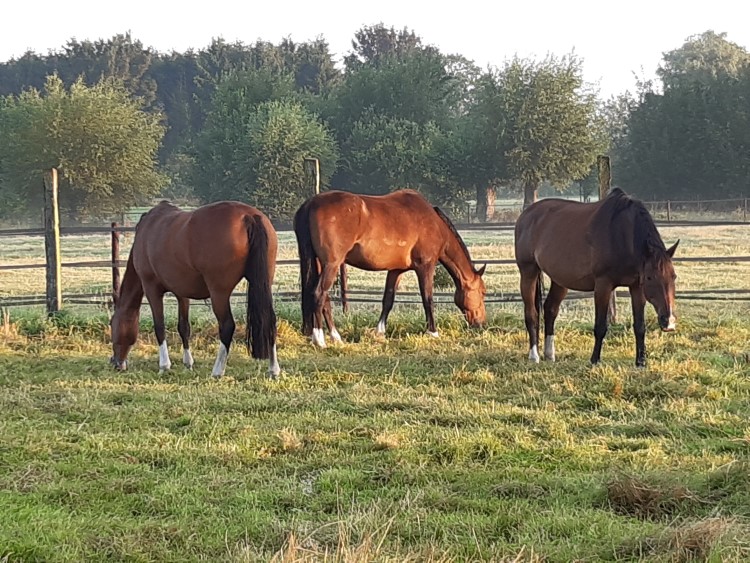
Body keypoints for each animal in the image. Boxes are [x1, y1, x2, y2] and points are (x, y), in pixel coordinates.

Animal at [110, 200, 280, 378]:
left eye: (111, 323)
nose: (116, 363)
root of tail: (248, 216)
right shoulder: (182, 293)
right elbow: (184, 327)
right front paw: (188, 363)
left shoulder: (151, 288)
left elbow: (159, 326)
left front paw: (164, 366)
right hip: (264, 284)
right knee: (270, 320)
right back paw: (273, 370)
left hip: (219, 293)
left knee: (227, 326)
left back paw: (217, 371)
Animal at [293, 189, 487, 347]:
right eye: (483, 292)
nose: (481, 323)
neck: (434, 223)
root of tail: (310, 203)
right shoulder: (425, 267)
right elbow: (428, 299)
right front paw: (433, 332)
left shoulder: (396, 270)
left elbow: (388, 299)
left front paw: (380, 332)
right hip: (331, 264)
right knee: (319, 294)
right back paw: (320, 340)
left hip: (319, 263)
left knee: (324, 300)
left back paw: (335, 337)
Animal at [514, 188, 678, 367]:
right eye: (650, 278)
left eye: (674, 277)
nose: (669, 322)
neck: (621, 234)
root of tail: (526, 214)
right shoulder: (603, 285)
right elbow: (600, 326)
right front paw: (594, 360)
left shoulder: (636, 286)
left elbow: (640, 326)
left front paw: (640, 362)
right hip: (528, 272)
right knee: (531, 314)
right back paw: (534, 355)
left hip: (560, 280)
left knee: (550, 309)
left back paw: (549, 354)